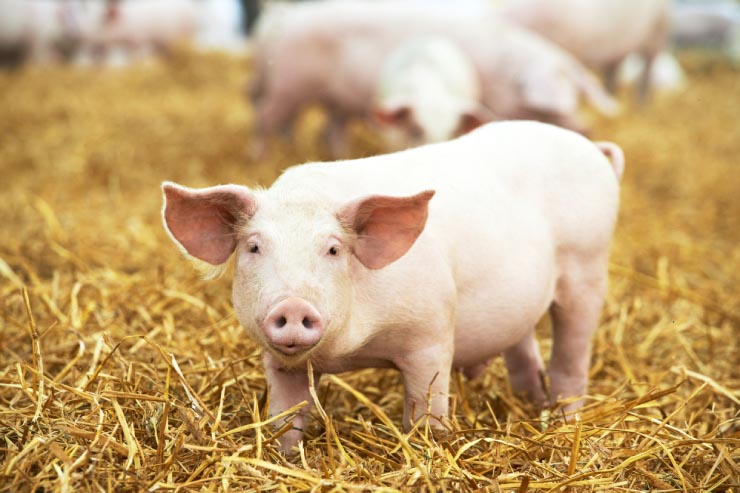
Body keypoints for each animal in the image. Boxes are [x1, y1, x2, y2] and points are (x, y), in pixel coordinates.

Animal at [162, 120, 624, 452]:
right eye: (254, 247)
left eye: (333, 249)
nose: (293, 305)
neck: (351, 352)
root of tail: (593, 150)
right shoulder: (280, 363)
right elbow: (286, 418)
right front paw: (285, 457)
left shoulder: (431, 336)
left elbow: (426, 410)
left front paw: (427, 449)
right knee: (524, 349)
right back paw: (531, 403)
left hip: (588, 269)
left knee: (571, 358)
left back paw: (564, 421)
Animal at [248, 0, 618, 159]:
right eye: (545, 108)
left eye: (575, 95)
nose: (585, 129)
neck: (501, 75)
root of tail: (284, 17)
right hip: (288, 84)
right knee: (265, 117)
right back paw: (259, 157)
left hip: (334, 99)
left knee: (327, 129)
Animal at [501, 0, 670, 102]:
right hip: (621, 48)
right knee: (614, 69)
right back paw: (612, 94)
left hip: (657, 31)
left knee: (648, 67)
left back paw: (641, 105)